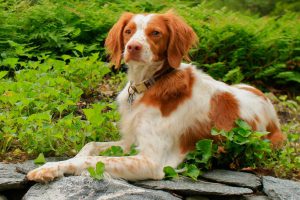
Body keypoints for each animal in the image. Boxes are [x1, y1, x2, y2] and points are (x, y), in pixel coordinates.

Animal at [27, 11, 284, 182]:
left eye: (156, 33)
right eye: (128, 31)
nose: (132, 47)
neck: (149, 84)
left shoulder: (151, 161)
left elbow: (90, 160)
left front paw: (51, 167)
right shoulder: (129, 142)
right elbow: (90, 146)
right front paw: (59, 163)